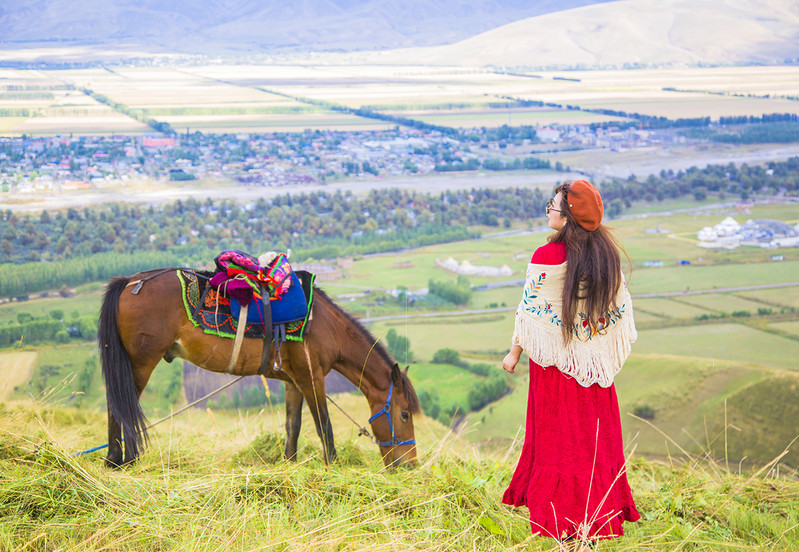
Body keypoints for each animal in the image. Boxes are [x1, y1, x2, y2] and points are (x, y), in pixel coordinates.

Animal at [97, 270, 422, 468]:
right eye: (404, 414)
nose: (410, 465)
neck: (324, 326)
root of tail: (130, 282)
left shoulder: (293, 381)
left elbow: (293, 427)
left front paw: (289, 466)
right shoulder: (312, 377)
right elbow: (324, 428)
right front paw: (333, 467)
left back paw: (113, 458)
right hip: (140, 362)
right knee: (121, 405)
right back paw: (123, 459)